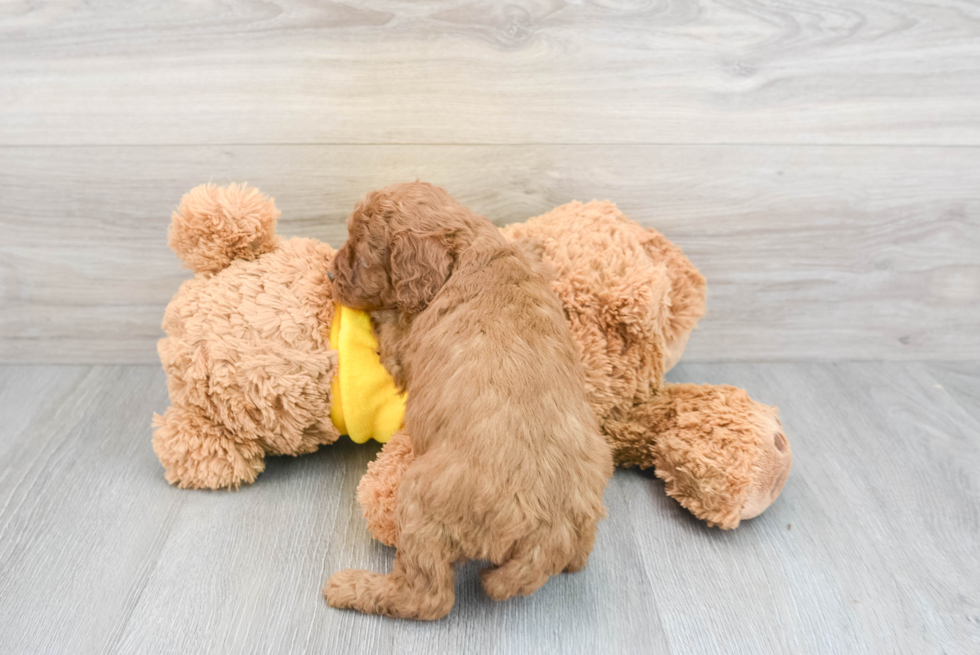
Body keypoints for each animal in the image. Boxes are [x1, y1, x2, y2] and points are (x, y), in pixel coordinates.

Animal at [324, 183, 612, 620]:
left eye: (361, 251)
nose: (328, 274)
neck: (468, 248)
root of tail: (549, 528)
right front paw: (534, 243)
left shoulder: (405, 350)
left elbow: (392, 328)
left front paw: (379, 315)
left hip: (420, 498)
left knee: (427, 596)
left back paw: (352, 588)